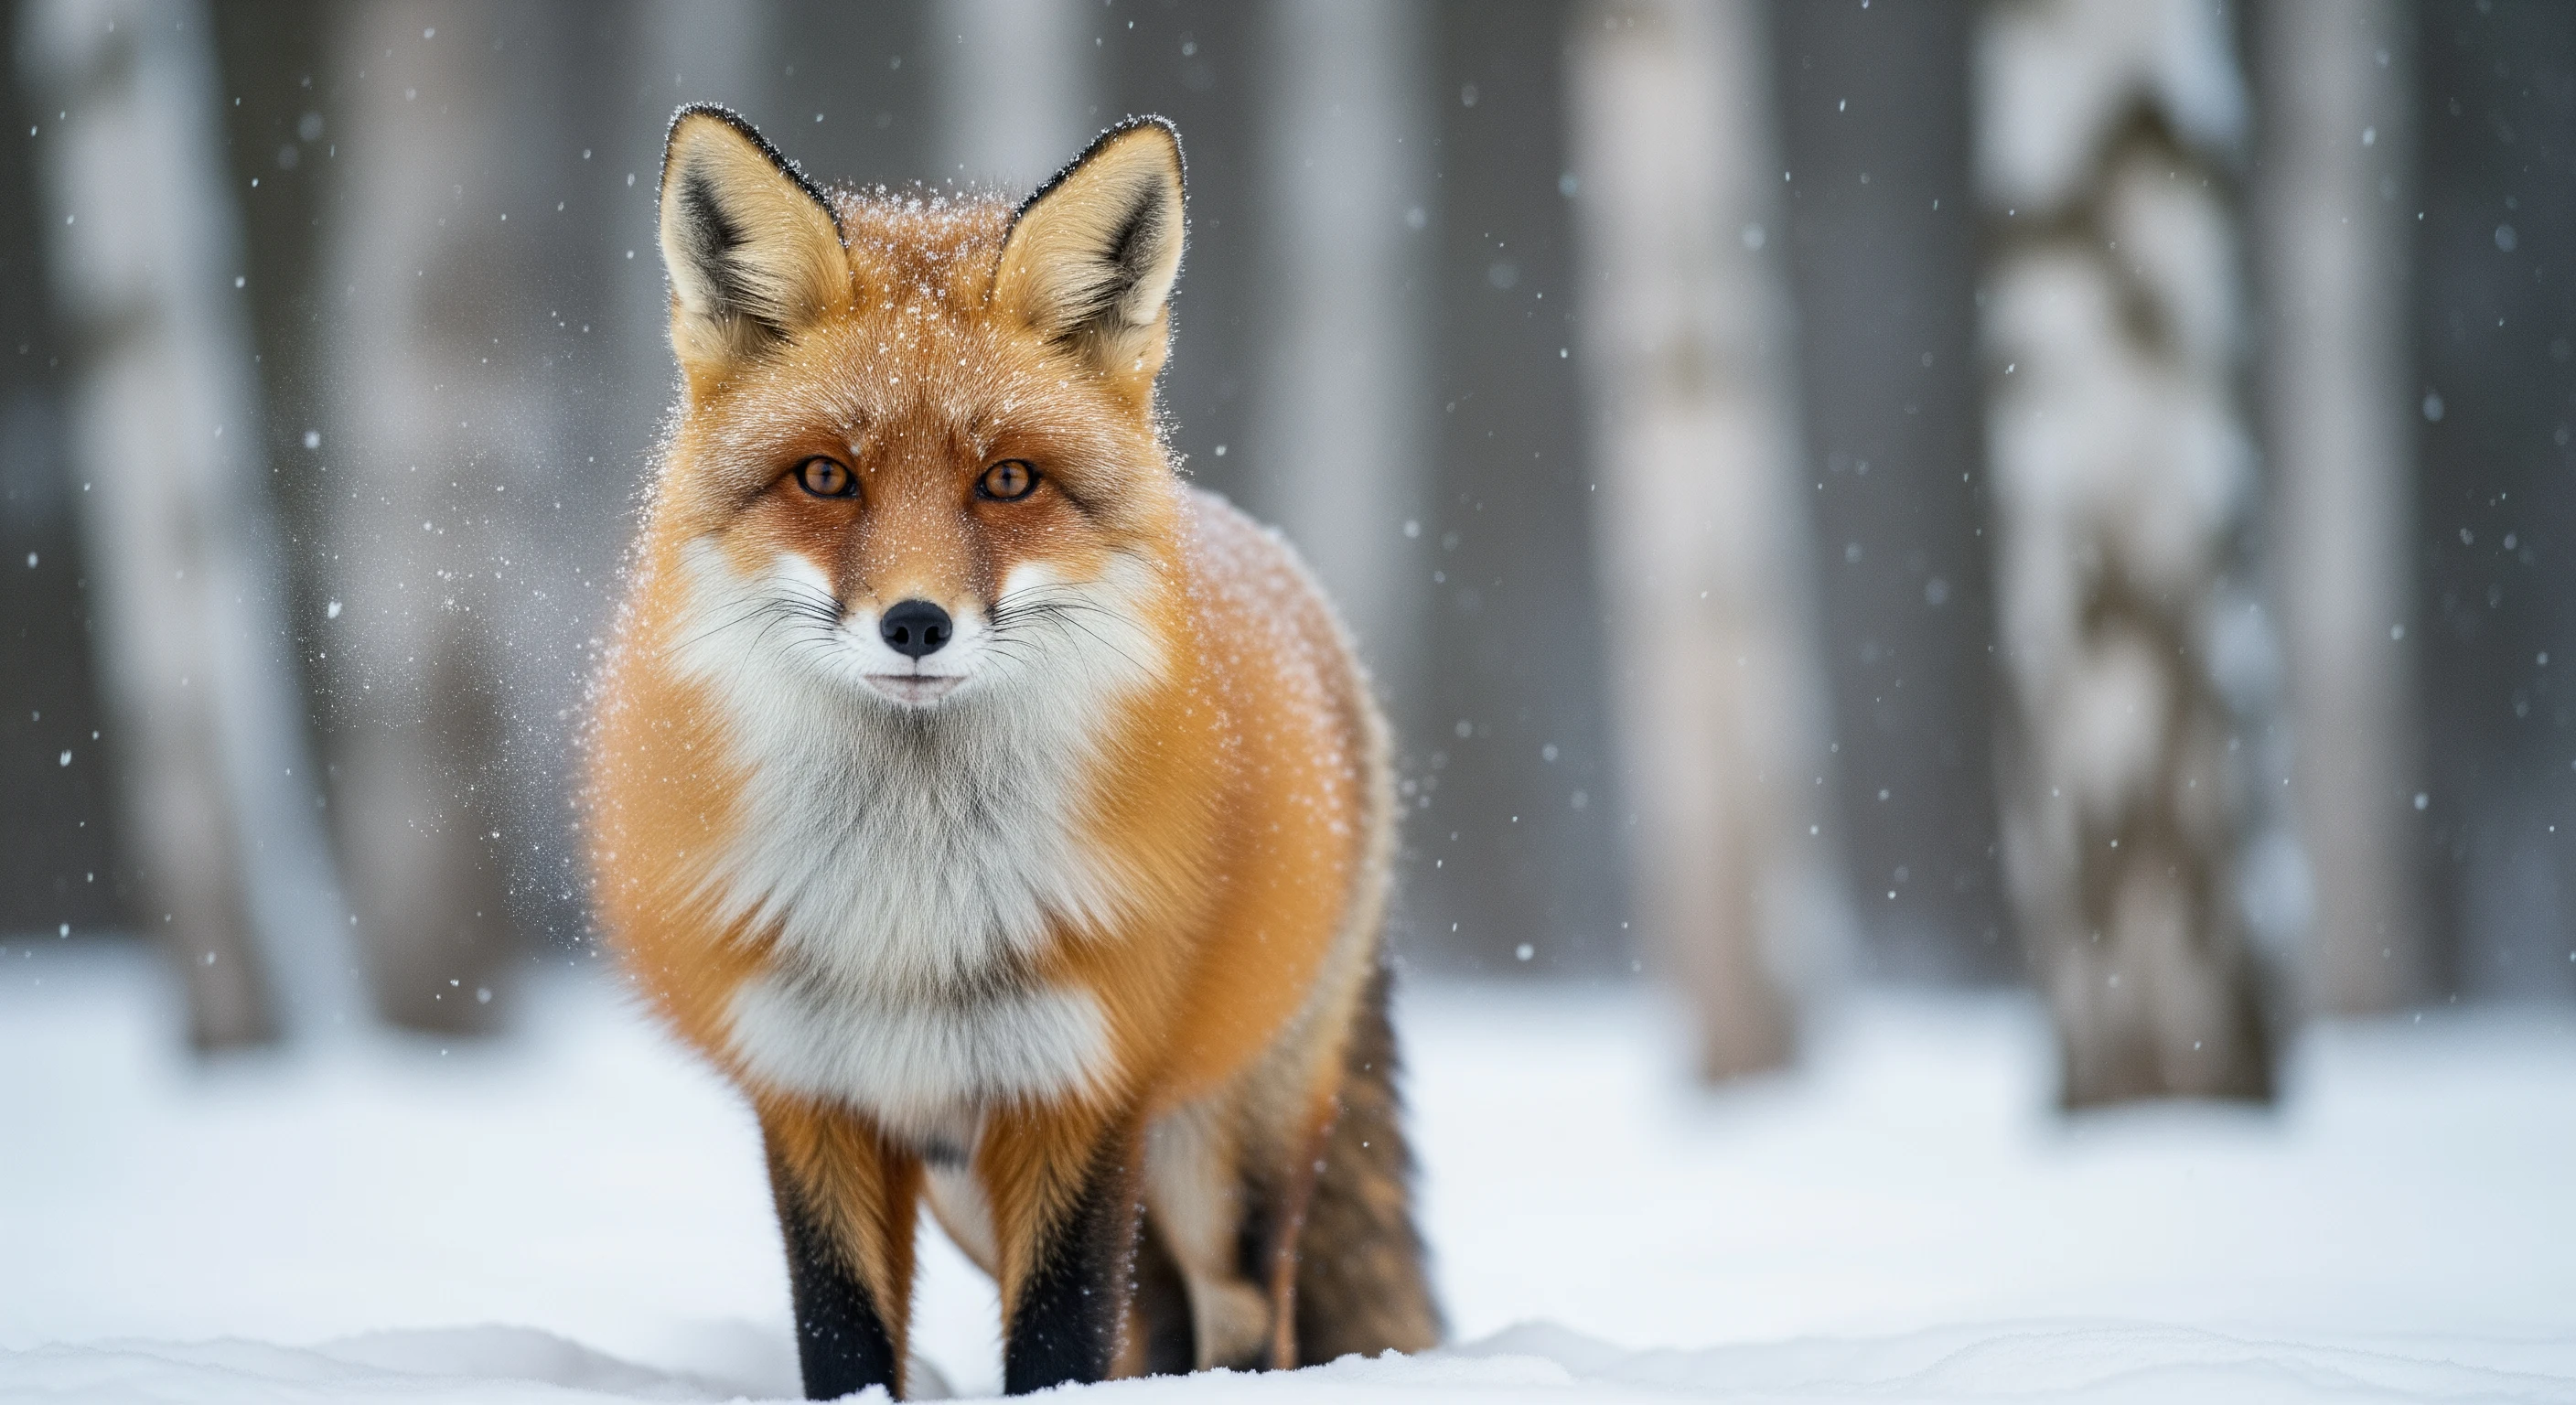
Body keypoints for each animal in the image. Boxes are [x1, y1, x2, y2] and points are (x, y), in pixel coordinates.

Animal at [582, 105, 1442, 1398]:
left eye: (1007, 481)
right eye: (825, 477)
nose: (915, 624)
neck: (909, 905)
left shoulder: (1079, 1096)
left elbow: (1058, 1348)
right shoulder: (813, 1095)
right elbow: (845, 1344)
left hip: (1217, 1161)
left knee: (1244, 1323)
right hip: (968, 1196)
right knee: (1148, 1332)